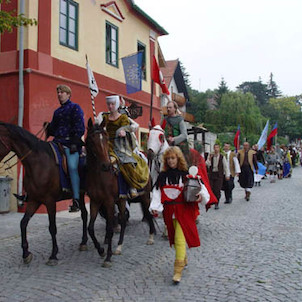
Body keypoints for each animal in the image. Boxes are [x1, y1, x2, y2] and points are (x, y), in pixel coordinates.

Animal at [0, 121, 88, 266]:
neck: (37, 163)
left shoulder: (50, 201)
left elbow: (52, 227)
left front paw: (53, 255)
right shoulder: (34, 200)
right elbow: (23, 223)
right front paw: (26, 254)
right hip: (81, 195)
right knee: (85, 215)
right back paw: (84, 241)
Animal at [85, 117, 155, 266]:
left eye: (106, 138)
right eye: (92, 140)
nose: (106, 165)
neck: (99, 175)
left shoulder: (109, 202)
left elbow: (110, 228)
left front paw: (108, 256)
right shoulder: (95, 202)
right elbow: (90, 228)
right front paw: (101, 250)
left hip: (144, 196)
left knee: (147, 213)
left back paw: (151, 236)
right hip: (122, 200)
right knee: (123, 220)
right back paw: (119, 246)